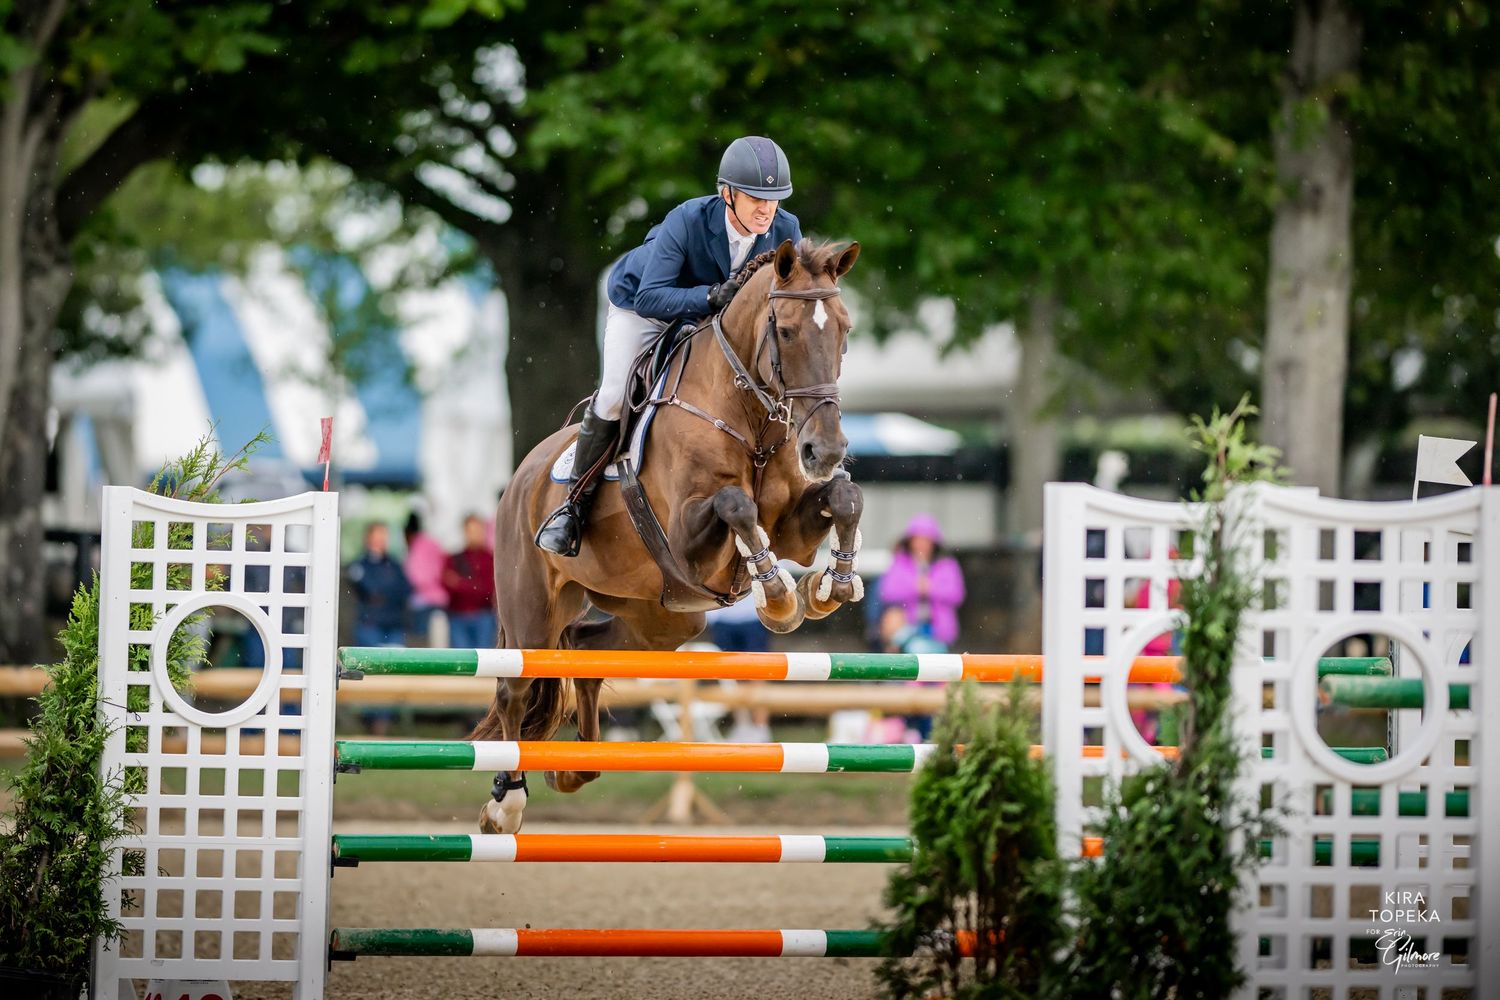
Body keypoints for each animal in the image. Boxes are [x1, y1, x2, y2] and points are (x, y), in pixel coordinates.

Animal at [472, 238, 866, 834]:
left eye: (844, 329)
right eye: (787, 330)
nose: (826, 450)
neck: (749, 418)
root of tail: (521, 475)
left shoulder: (791, 529)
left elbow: (845, 497)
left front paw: (827, 587)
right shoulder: (686, 543)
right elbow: (736, 504)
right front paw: (777, 597)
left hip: (663, 617)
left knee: (587, 652)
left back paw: (574, 768)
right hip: (532, 609)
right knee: (514, 686)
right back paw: (506, 801)